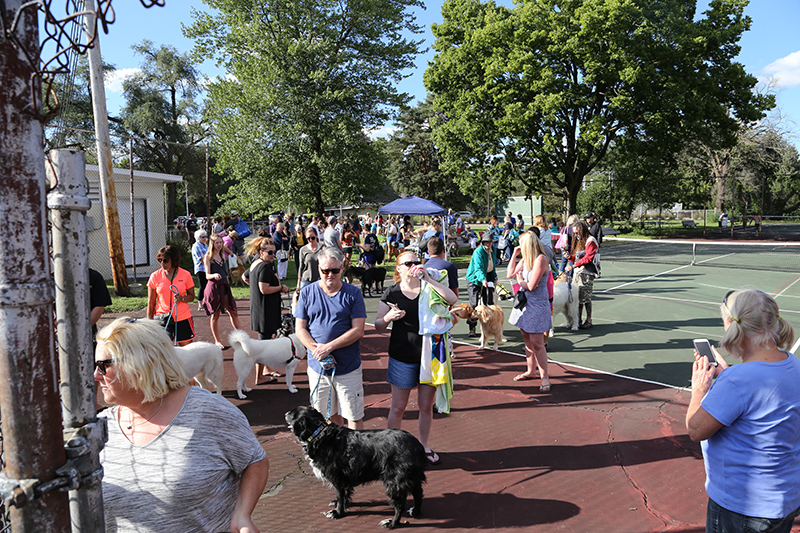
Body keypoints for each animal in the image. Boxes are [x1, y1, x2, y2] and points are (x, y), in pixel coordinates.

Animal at [286, 406, 428, 524]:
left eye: (292, 414)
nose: (286, 413)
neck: (320, 434)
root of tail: (417, 445)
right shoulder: (345, 479)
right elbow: (345, 495)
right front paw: (343, 505)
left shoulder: (338, 479)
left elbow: (340, 496)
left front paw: (338, 513)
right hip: (412, 477)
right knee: (418, 494)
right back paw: (415, 511)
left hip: (394, 481)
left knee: (400, 505)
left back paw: (392, 523)